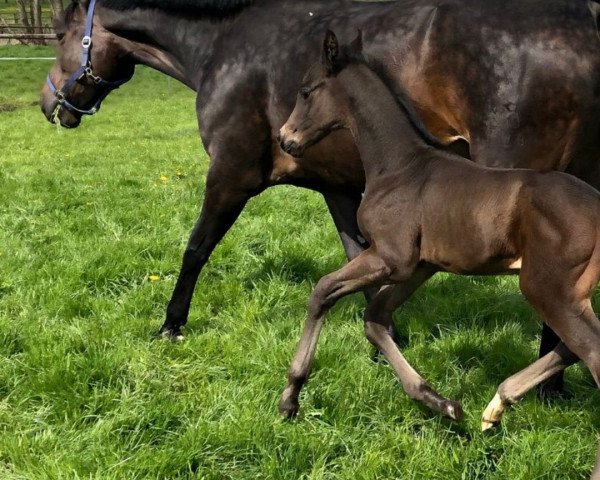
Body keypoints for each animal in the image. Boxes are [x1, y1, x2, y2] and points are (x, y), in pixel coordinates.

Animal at [278, 31, 600, 432]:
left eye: (305, 91)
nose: (285, 138)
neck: (399, 166)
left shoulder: (391, 257)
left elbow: (322, 291)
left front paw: (290, 397)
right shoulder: (420, 266)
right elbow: (374, 319)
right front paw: (442, 403)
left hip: (549, 289)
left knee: (591, 352)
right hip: (569, 294)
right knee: (572, 348)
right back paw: (495, 406)